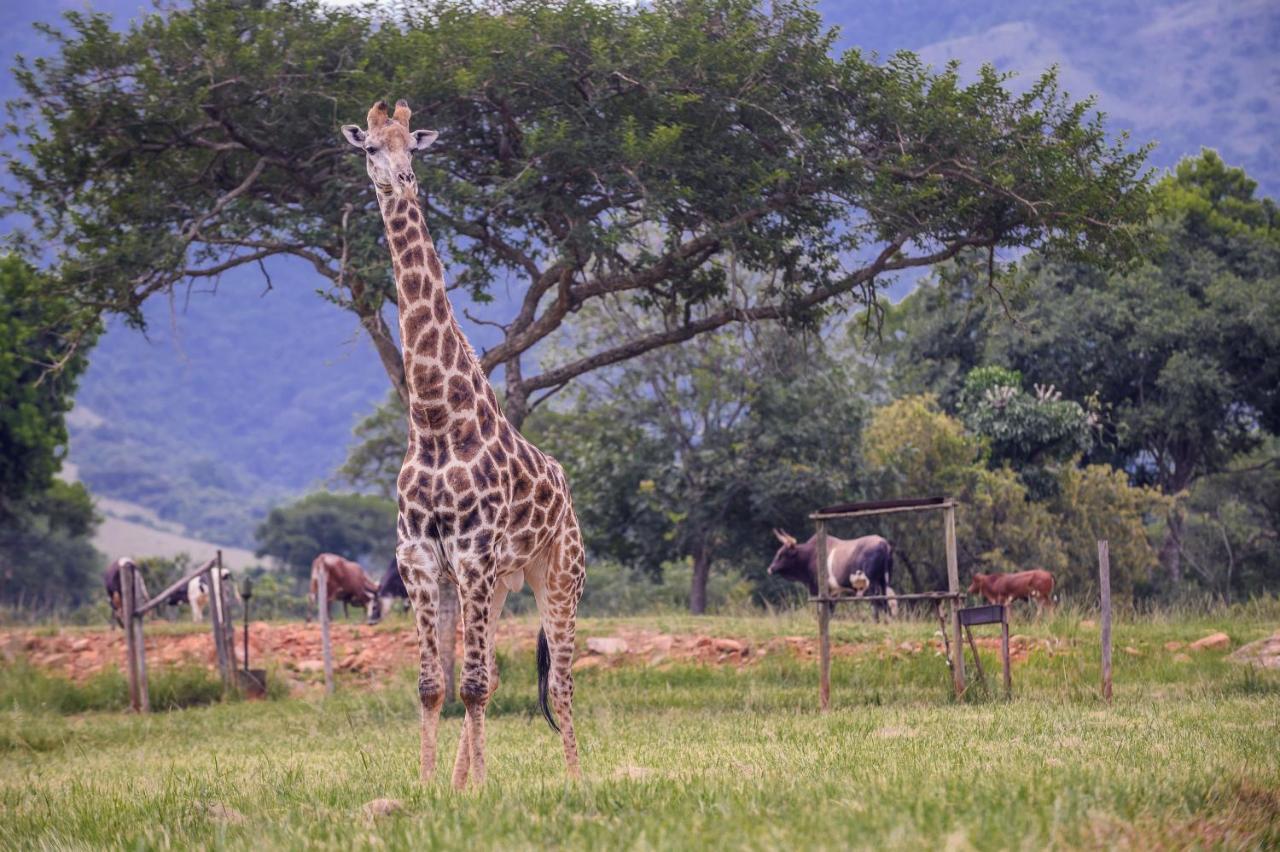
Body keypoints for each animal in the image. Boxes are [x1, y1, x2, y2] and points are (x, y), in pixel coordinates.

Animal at [337, 97, 583, 782]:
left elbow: (469, 683)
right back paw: (463, 776)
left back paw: (577, 778)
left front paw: (482, 789)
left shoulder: (472, 553)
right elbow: (433, 684)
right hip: (500, 582)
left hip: (558, 572)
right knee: (496, 674)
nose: (400, 180)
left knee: (560, 684)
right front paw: (431, 786)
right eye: (371, 147)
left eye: (413, 148)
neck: (434, 420)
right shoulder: (420, 557)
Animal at [762, 524, 896, 616]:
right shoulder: (833, 591)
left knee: (876, 602)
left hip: (872, 583)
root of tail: (883, 543)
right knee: (885, 603)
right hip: (884, 582)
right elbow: (831, 610)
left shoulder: (818, 589)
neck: (811, 554)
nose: (770, 569)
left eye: (781, 554)